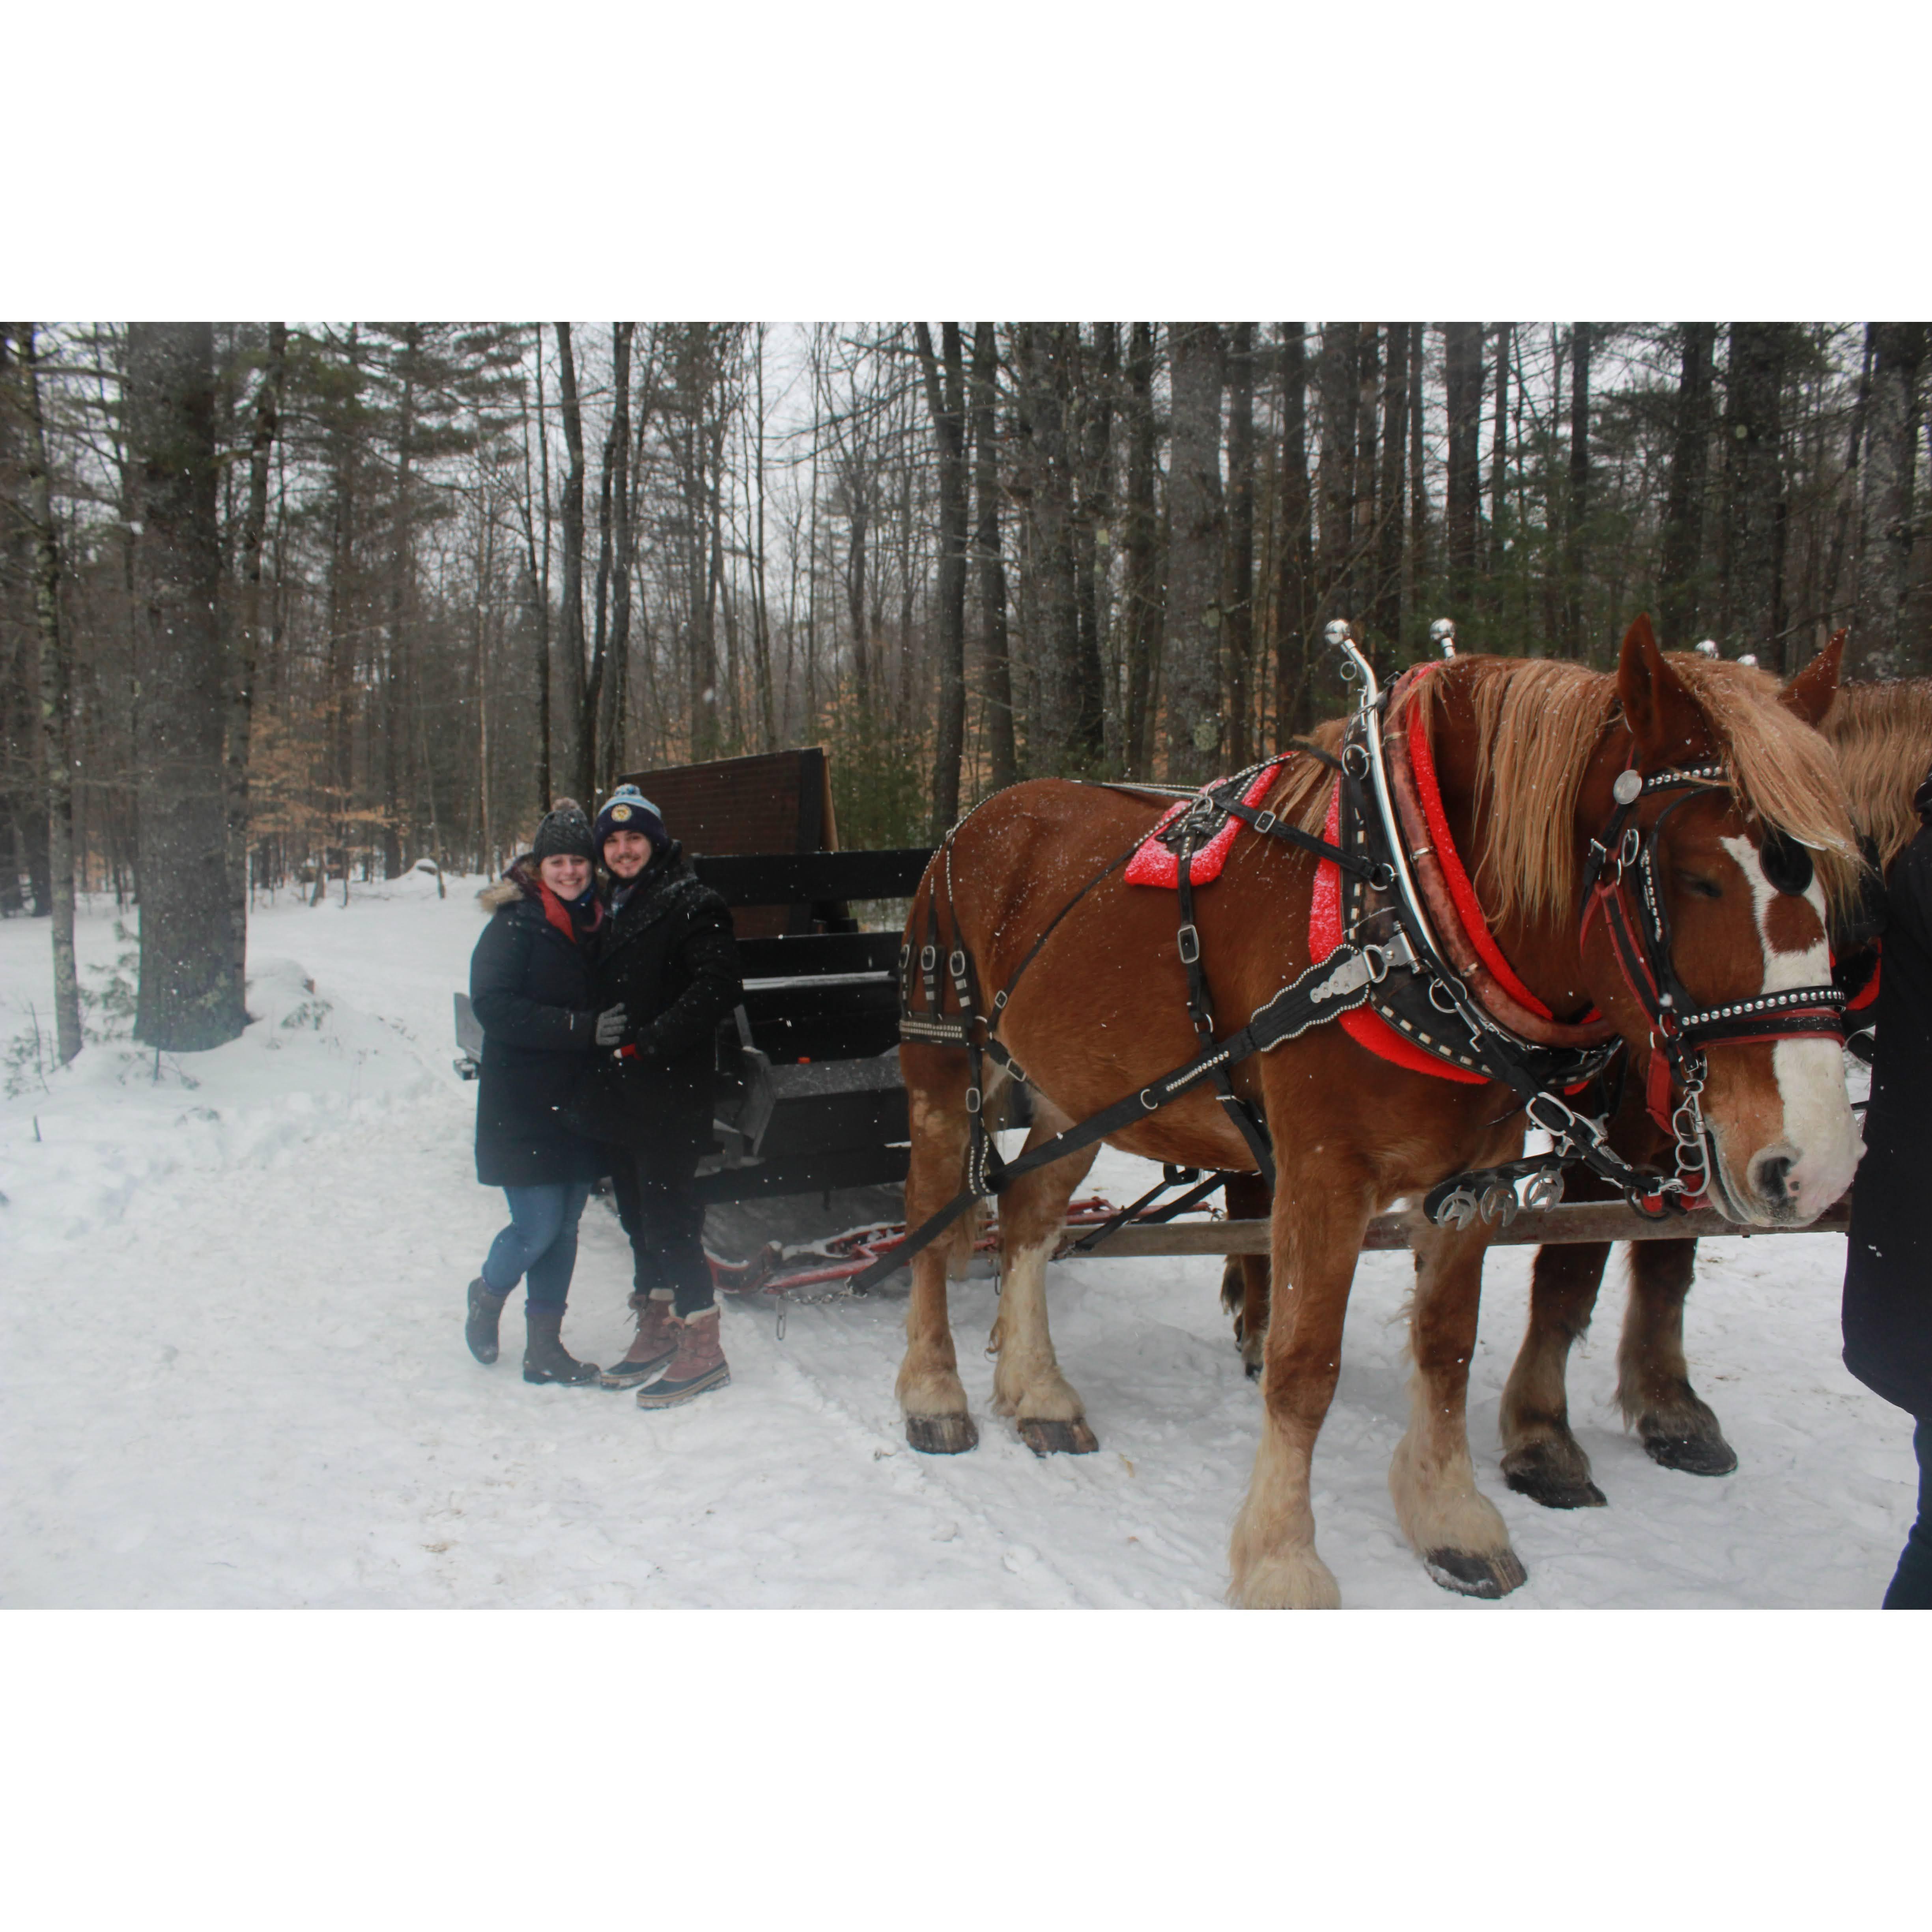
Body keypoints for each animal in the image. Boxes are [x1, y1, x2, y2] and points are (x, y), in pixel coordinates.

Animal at [896, 614, 1862, 1599]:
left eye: (1832, 879)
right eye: (1695, 875)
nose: (1814, 1163)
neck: (1405, 915)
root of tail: (977, 820)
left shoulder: (1474, 1180)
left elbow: (1446, 1347)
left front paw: (1450, 1519)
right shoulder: (1323, 1174)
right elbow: (1301, 1367)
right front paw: (1281, 1559)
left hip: (1071, 1094)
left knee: (1026, 1220)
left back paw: (1037, 1391)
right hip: (942, 1065)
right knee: (930, 1222)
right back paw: (934, 1391)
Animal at [1499, 680, 1932, 1507]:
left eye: (1845, 888)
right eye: (1698, 880)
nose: (1823, 1170)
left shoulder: (1716, 1135)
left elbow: (1670, 1260)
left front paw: (1668, 1405)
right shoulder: (1621, 1125)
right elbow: (1572, 1270)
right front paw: (1540, 1437)